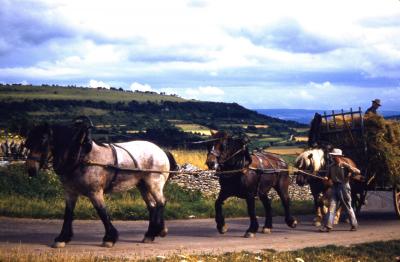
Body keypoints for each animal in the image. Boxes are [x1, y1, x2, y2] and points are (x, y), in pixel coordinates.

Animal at [23, 118, 177, 248]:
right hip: (142, 185)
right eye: (29, 143)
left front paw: (109, 238)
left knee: (161, 202)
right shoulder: (70, 192)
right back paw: (151, 234)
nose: (30, 169)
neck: (82, 157)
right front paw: (62, 238)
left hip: (154, 183)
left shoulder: (95, 192)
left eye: (42, 140)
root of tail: (161, 150)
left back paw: (157, 231)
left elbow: (102, 212)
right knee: (152, 206)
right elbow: (68, 213)